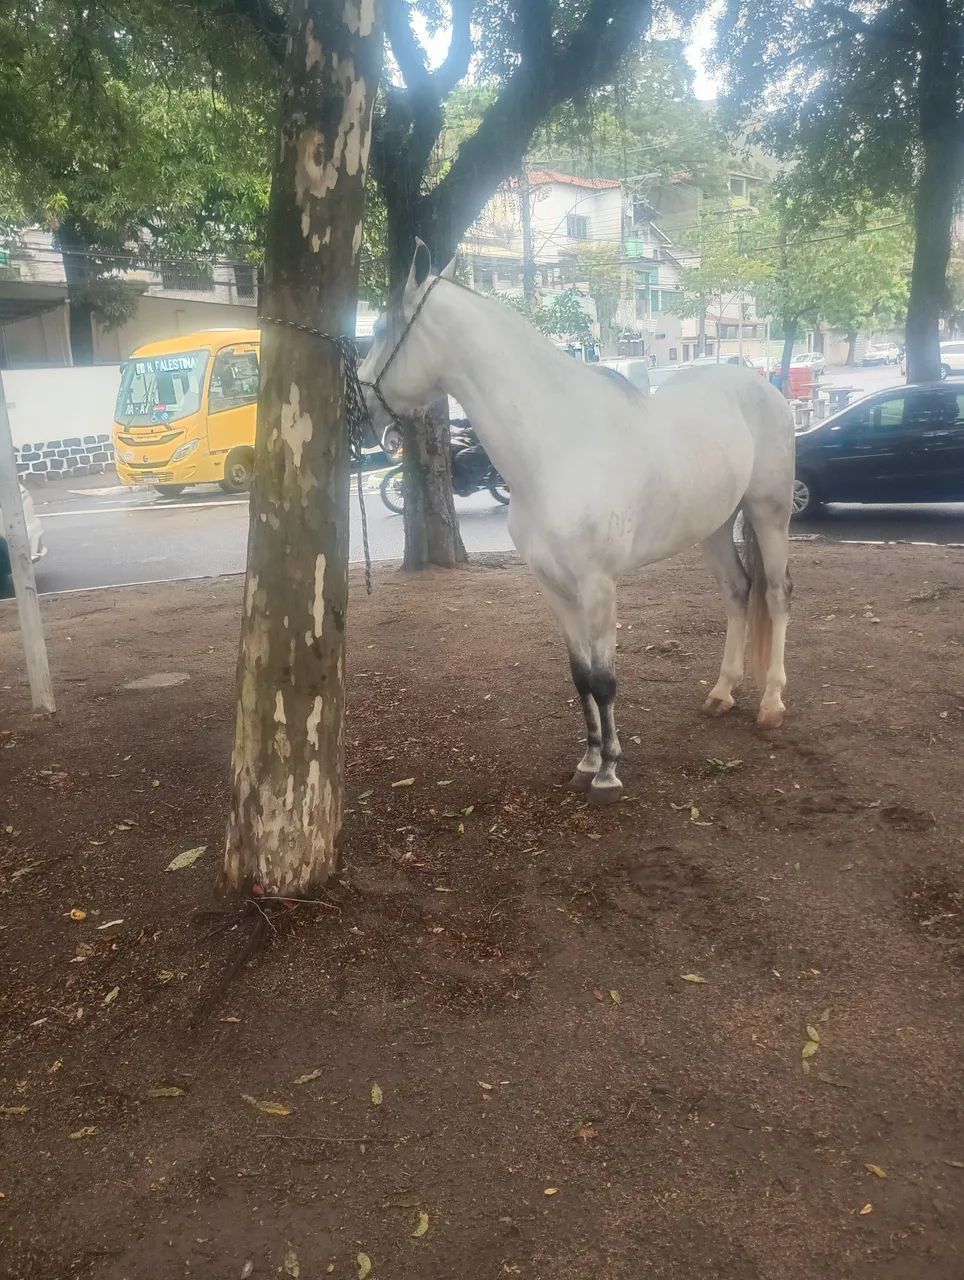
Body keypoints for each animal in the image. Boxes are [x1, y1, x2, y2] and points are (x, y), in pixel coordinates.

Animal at [358, 242, 795, 806]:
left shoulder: (597, 586)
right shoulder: (553, 586)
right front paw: (587, 760)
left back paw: (771, 704)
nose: (358, 412)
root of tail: (763, 387)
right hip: (715, 527)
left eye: (377, 329)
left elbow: (605, 679)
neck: (556, 448)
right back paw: (721, 693)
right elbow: (580, 675)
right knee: (738, 592)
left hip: (768, 514)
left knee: (775, 596)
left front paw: (608, 772)